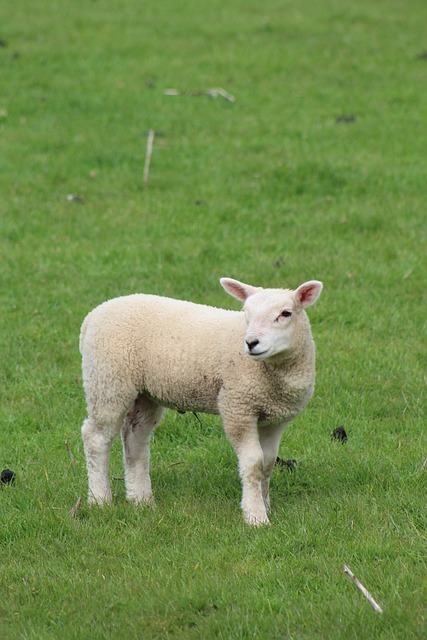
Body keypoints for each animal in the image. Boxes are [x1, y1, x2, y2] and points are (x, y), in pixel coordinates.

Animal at [78, 278, 322, 524]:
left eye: (286, 313)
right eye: (246, 312)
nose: (251, 343)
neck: (274, 372)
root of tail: (93, 315)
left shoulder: (275, 419)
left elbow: (268, 463)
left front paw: (265, 505)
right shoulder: (237, 407)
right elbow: (254, 464)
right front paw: (256, 516)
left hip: (145, 394)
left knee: (135, 439)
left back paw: (141, 500)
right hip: (108, 381)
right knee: (96, 438)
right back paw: (100, 499)